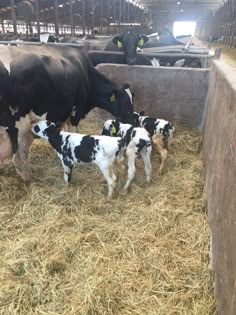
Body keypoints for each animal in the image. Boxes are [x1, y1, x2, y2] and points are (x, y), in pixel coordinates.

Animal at [0, 45, 135, 183]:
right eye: (126, 102)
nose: (132, 121)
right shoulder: (76, 111)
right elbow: (73, 132)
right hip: (18, 124)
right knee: (18, 157)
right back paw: (28, 178)